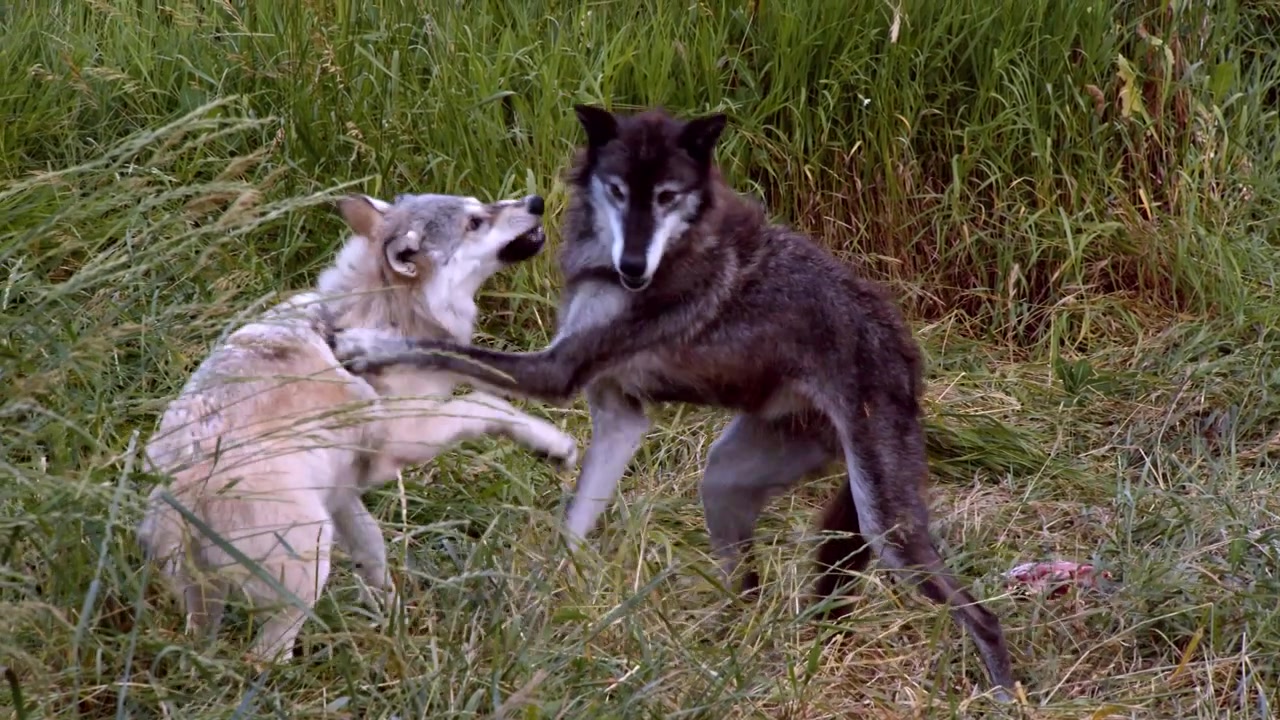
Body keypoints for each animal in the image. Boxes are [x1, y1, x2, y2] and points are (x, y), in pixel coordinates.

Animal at [137, 191, 579, 663]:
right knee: (265, 656)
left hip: (212, 596)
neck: (379, 314)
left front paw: (393, 619)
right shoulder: (408, 436)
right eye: (475, 223)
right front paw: (553, 444)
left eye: (480, 204)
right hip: (308, 568)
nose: (535, 201)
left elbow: (373, 548)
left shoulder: (341, 491)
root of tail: (183, 493)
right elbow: (486, 403)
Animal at [329, 106, 1017, 695]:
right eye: (617, 191)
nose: (635, 269)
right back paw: (737, 658)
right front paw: (542, 609)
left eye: (667, 198)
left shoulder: (556, 374)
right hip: (727, 485)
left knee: (984, 618)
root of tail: (909, 359)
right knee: (752, 592)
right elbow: (571, 528)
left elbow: (437, 348)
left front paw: (366, 344)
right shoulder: (618, 416)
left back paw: (1004, 694)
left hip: (888, 532)